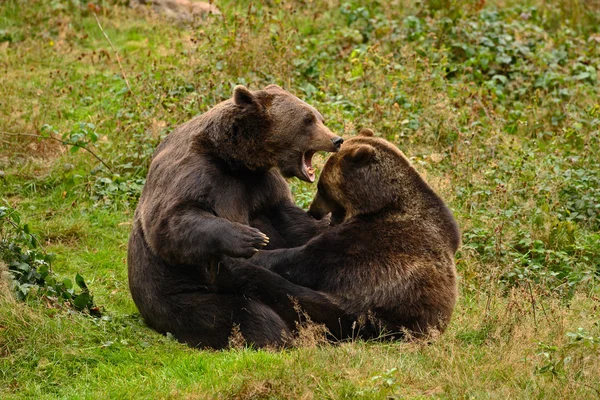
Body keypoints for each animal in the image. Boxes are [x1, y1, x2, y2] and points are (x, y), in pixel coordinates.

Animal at [126, 85, 346, 350]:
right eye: (308, 120)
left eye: (319, 118)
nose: (337, 139)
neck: (234, 160)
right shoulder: (194, 171)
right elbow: (169, 221)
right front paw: (250, 238)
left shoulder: (260, 185)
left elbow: (290, 221)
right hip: (175, 294)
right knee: (242, 315)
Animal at [230, 130, 460, 340]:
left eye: (321, 187)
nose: (313, 210)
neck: (379, 203)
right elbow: (301, 231)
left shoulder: (371, 240)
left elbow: (307, 258)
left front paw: (257, 256)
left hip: (374, 308)